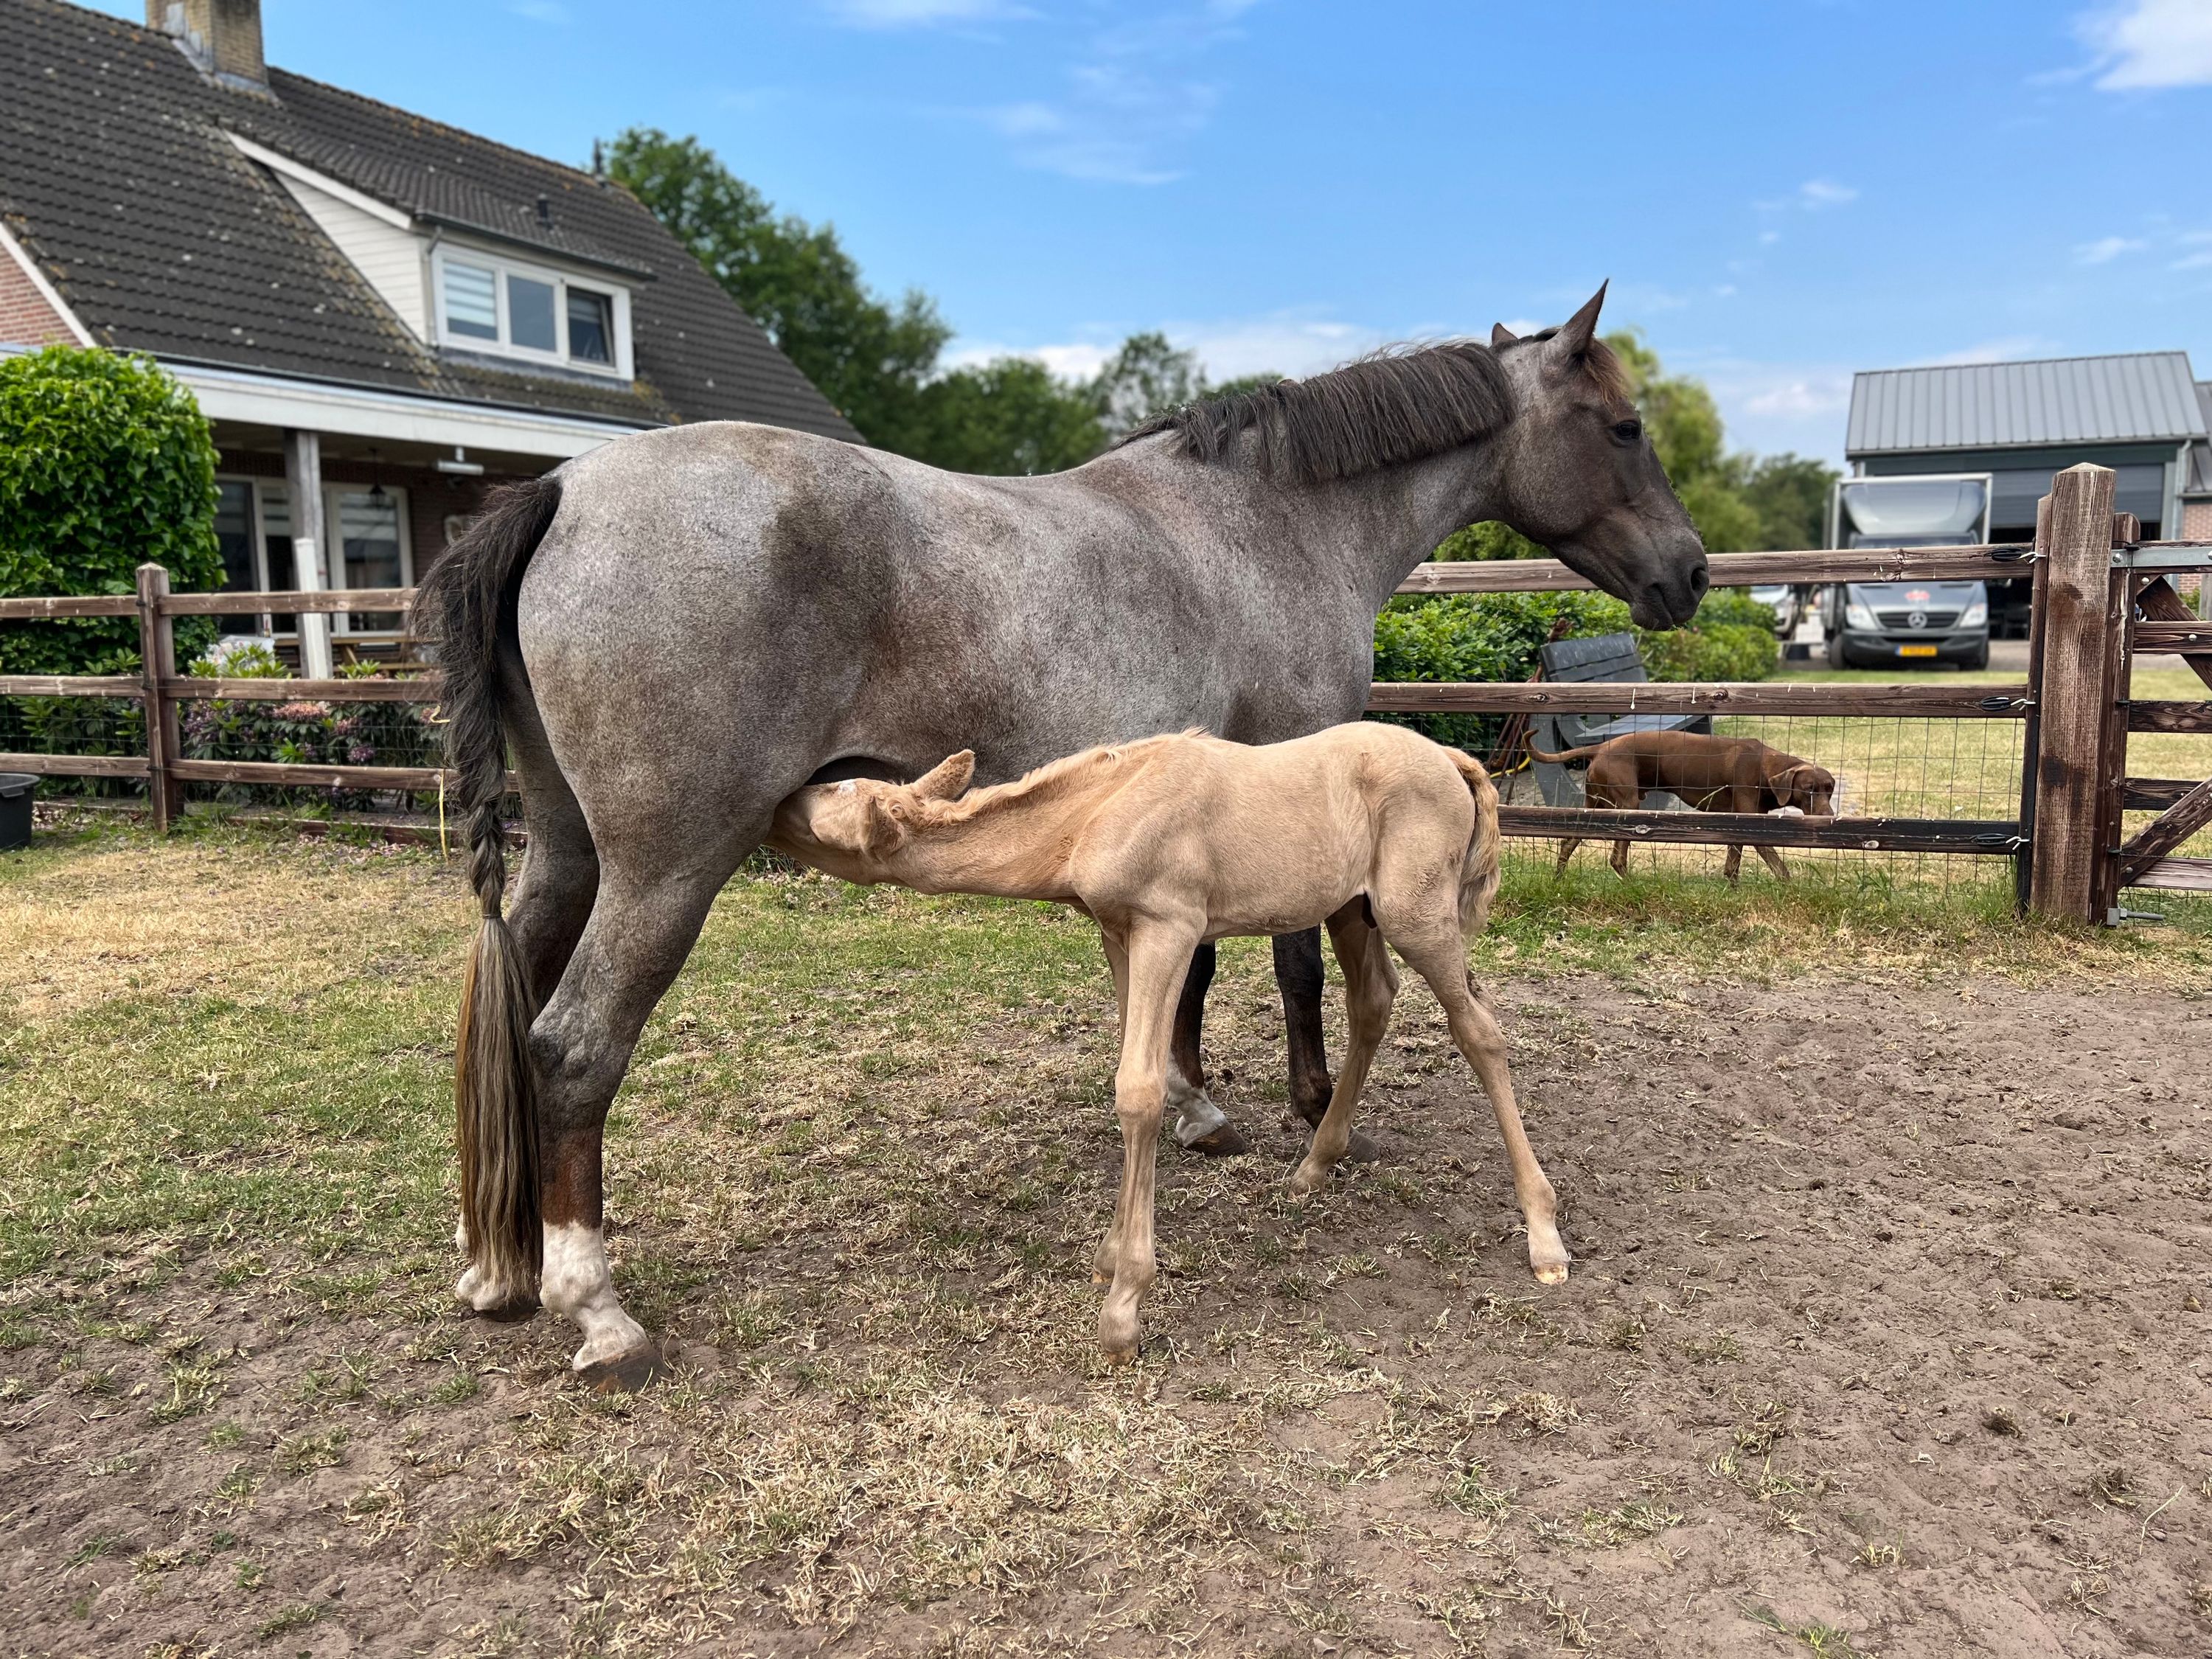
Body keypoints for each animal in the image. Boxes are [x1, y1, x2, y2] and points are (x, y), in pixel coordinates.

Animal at [768, 724, 1562, 1361]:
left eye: (834, 789)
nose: (777, 800)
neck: (1097, 811)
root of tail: (1452, 760)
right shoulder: (1120, 934)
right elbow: (1136, 1070)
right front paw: (1109, 1256)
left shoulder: (1169, 927)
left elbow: (1140, 1092)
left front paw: (1123, 1307)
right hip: (1351, 909)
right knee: (1372, 1005)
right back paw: (1313, 1168)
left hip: (1414, 912)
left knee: (1478, 1031)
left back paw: (1544, 1235)